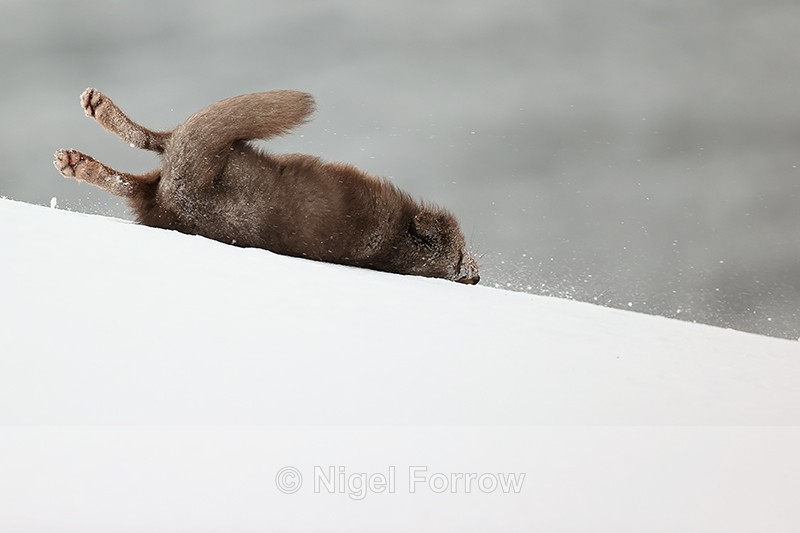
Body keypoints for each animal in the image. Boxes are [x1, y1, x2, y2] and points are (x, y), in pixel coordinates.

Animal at [53, 88, 479, 284]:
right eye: (462, 254)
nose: (475, 275)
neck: (396, 242)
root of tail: (180, 202)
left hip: (206, 151)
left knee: (144, 156)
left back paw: (79, 154)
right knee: (151, 146)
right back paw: (92, 119)